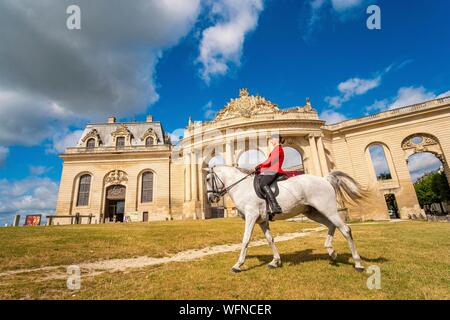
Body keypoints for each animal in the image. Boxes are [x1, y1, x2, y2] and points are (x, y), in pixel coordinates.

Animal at [205, 166, 370, 274]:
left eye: (207, 179)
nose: (211, 198)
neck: (241, 188)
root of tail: (325, 179)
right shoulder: (262, 221)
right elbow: (270, 239)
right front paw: (275, 262)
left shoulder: (251, 216)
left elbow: (246, 239)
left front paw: (237, 265)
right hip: (313, 212)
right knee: (331, 225)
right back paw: (331, 251)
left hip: (327, 209)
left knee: (345, 229)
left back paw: (358, 264)